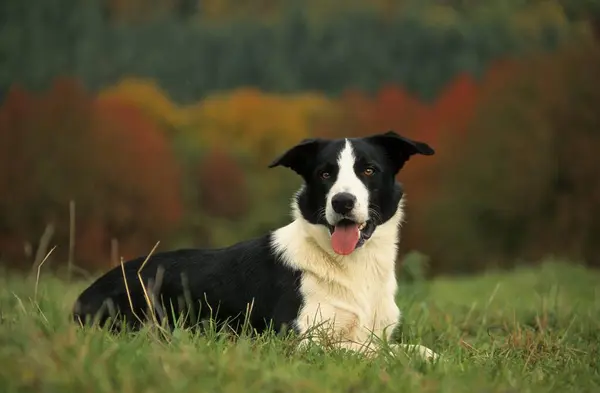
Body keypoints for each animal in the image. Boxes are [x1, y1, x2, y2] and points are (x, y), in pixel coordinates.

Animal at [72, 130, 438, 360]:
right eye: (324, 174)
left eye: (369, 170)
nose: (343, 202)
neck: (351, 267)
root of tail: (81, 299)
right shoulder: (293, 338)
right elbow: (368, 350)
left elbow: (417, 350)